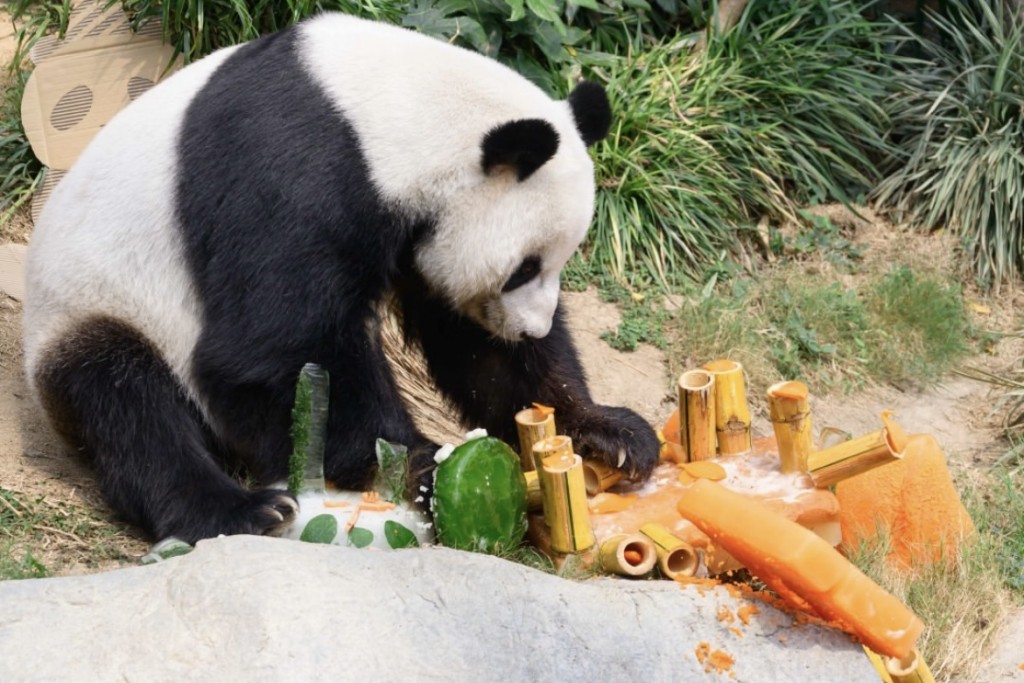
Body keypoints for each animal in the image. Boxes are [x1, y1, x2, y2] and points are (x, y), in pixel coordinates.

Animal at [25, 10, 663, 544]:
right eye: (523, 268)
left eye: (558, 261)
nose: (531, 329)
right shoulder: (290, 170)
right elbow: (276, 346)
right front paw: (423, 466)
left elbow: (473, 345)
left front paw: (607, 433)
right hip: (94, 302)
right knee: (127, 400)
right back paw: (241, 510)